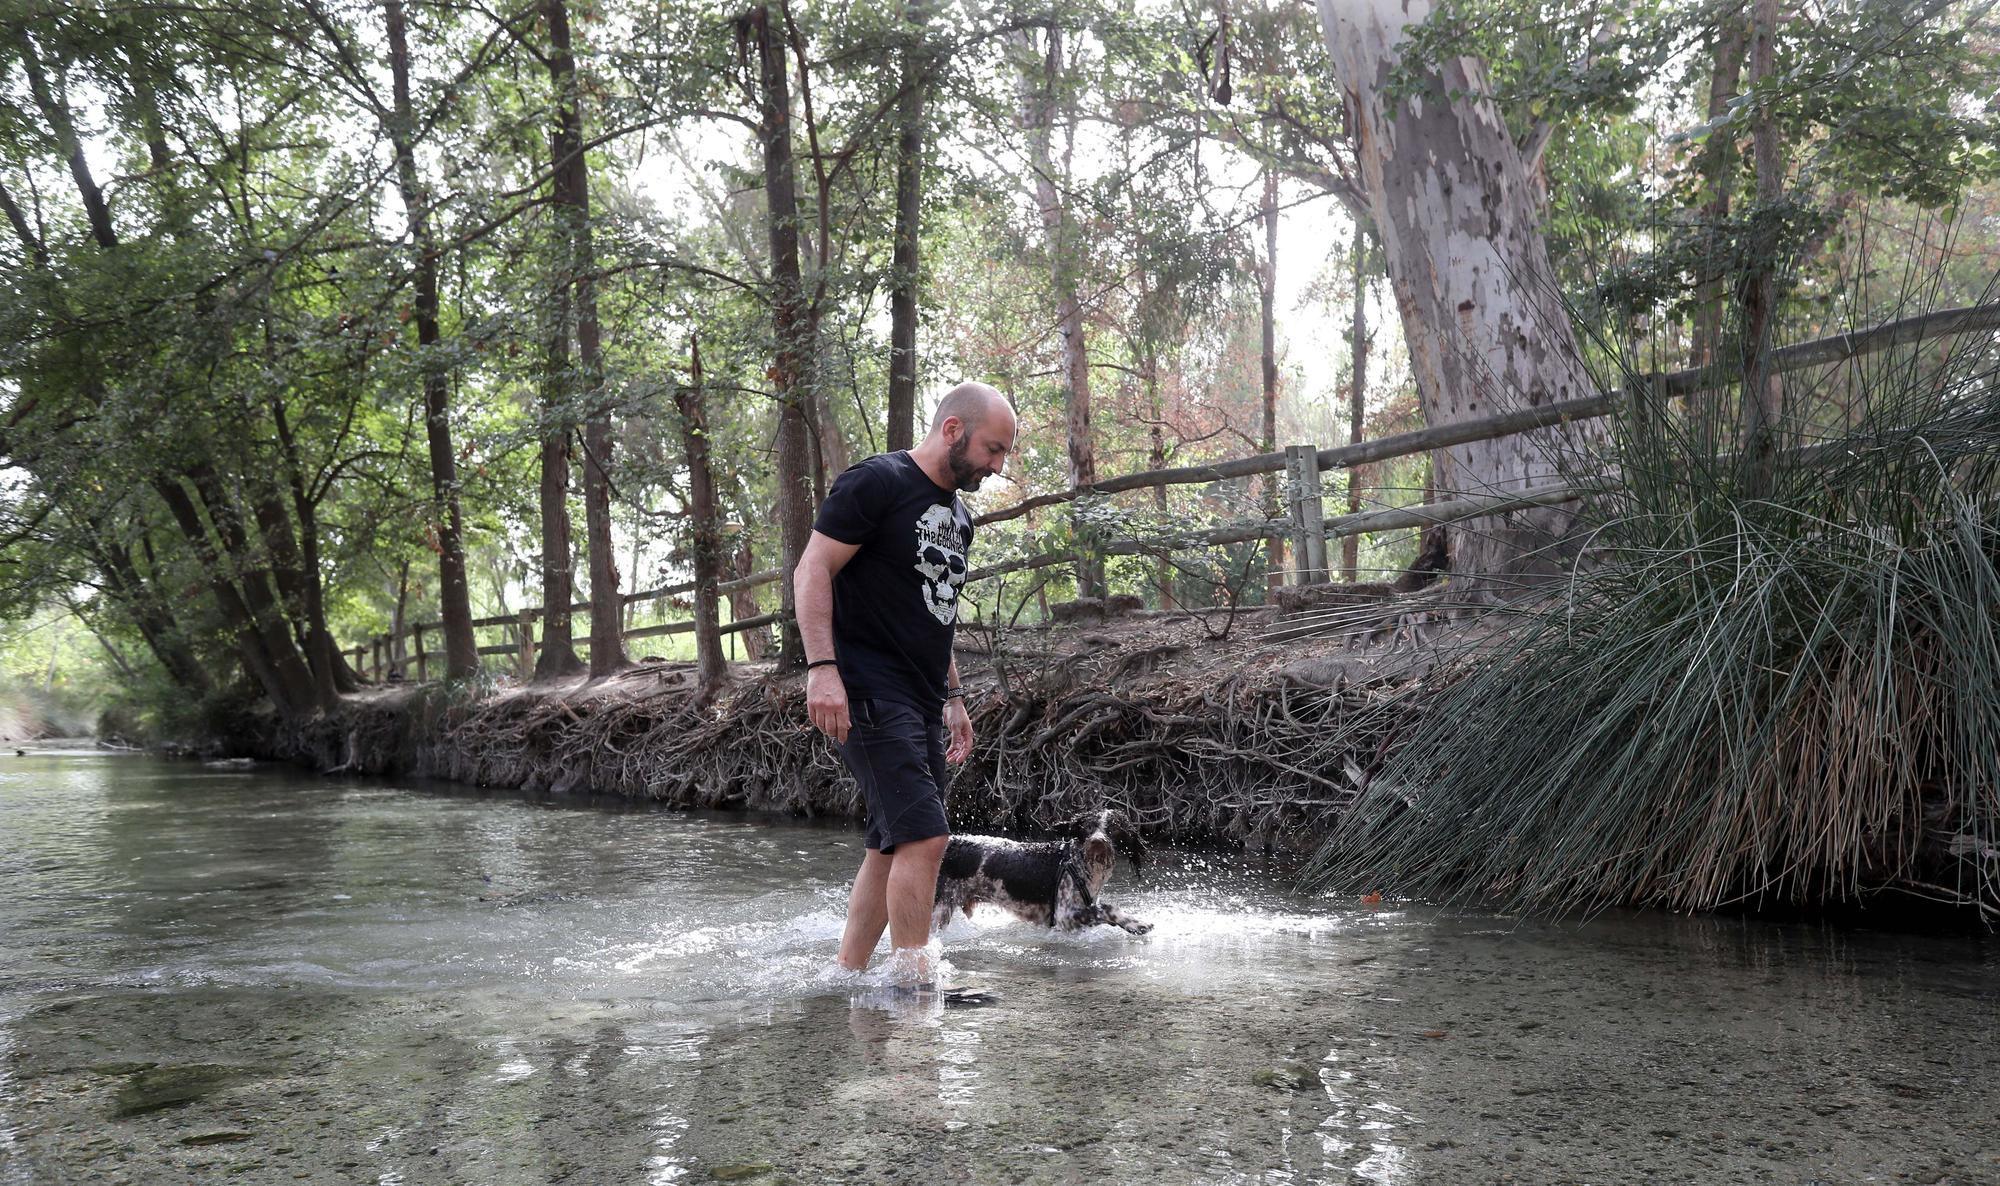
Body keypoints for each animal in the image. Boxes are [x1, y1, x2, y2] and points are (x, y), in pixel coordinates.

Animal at [936, 804, 1160, 936]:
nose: (1097, 842)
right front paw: (1136, 922)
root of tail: (951, 843)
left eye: (1113, 828)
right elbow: (1106, 908)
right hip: (938, 910)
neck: (1079, 864)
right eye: (1088, 827)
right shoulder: (1065, 915)